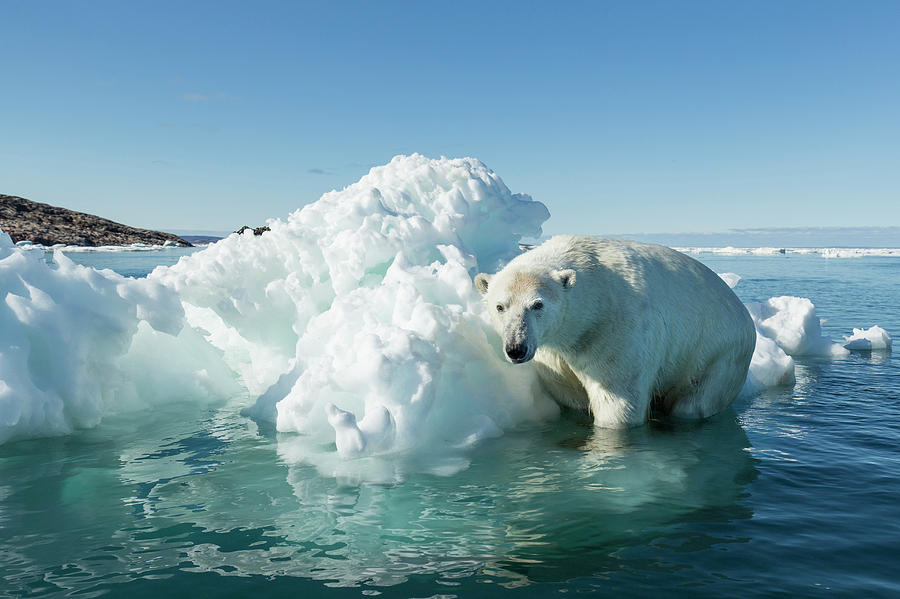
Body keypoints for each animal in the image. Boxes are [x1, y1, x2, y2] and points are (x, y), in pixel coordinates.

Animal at [474, 234, 756, 426]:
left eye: (537, 304)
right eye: (500, 306)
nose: (516, 349)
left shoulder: (615, 330)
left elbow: (618, 402)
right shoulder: (552, 351)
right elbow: (568, 392)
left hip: (718, 353)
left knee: (695, 402)